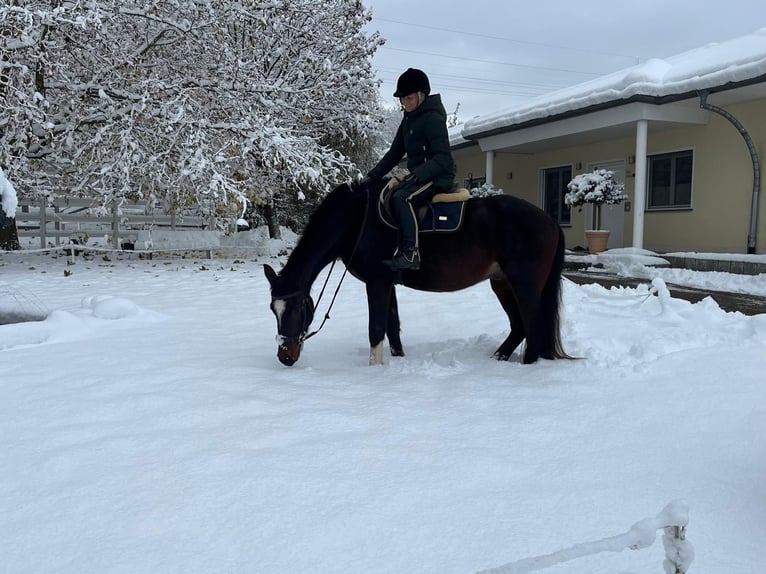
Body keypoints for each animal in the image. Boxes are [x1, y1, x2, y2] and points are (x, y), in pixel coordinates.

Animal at [264, 179, 568, 368]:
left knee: (533, 326)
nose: (285, 357)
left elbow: (376, 329)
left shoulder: (377, 283)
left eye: (296, 308)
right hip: (502, 283)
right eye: (272, 310)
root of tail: (550, 220)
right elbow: (392, 327)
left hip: (524, 284)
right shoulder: (388, 284)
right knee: (519, 326)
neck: (357, 221)